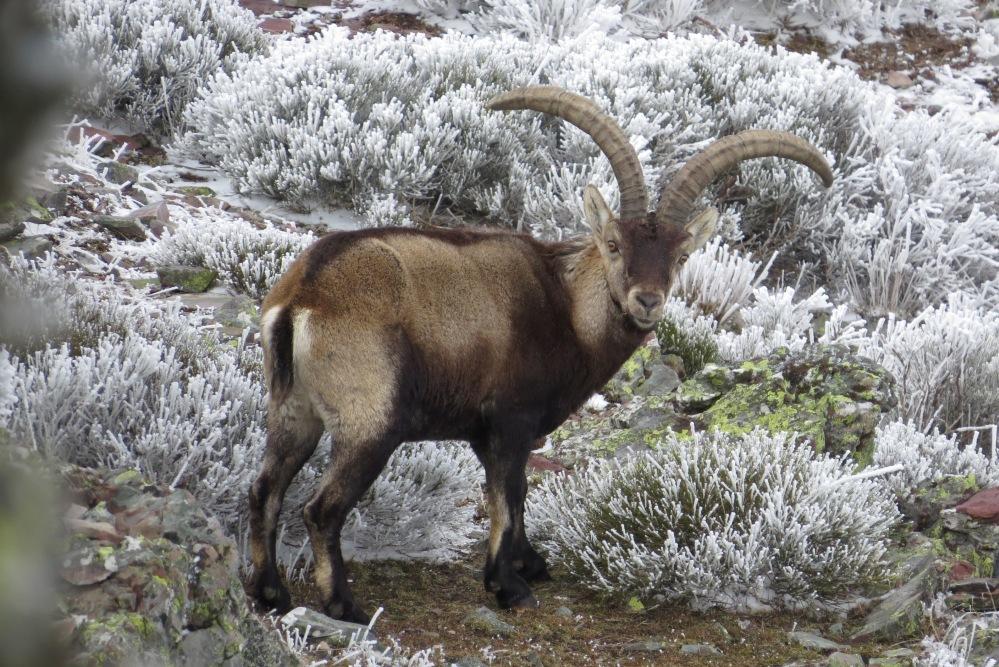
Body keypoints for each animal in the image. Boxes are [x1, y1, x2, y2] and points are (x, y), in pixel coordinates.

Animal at [248, 86, 834, 622]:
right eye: (614, 244)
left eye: (681, 256)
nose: (646, 301)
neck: (568, 306)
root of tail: (305, 293)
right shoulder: (511, 419)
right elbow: (508, 499)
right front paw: (509, 587)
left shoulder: (489, 432)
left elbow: (516, 494)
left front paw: (529, 565)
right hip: (370, 422)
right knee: (321, 509)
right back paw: (342, 603)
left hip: (294, 411)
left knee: (264, 491)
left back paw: (270, 593)